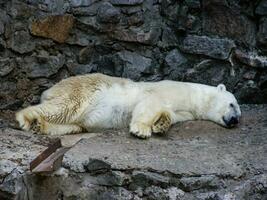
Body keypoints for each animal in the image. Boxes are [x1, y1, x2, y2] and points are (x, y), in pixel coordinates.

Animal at [16, 72, 243, 138]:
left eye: (239, 114)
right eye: (233, 104)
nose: (234, 120)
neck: (194, 96)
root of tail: (50, 90)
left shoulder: (184, 111)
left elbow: (169, 114)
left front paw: (161, 124)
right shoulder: (171, 89)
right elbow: (150, 103)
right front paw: (141, 130)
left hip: (75, 118)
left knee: (71, 124)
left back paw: (40, 125)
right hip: (82, 92)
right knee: (63, 107)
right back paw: (24, 119)